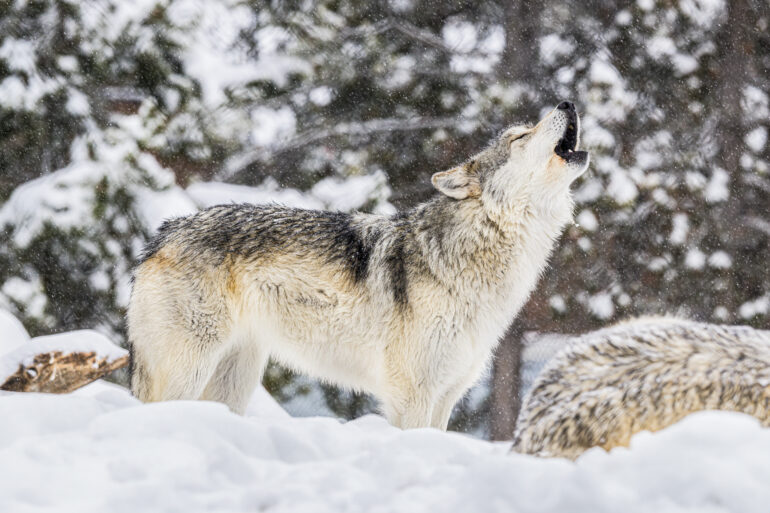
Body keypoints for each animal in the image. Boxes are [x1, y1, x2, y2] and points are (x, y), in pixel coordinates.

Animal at [128, 101, 589, 429]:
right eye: (520, 136)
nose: (567, 102)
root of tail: (164, 233)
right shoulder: (413, 395)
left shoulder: (446, 396)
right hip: (189, 371)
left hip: (234, 380)